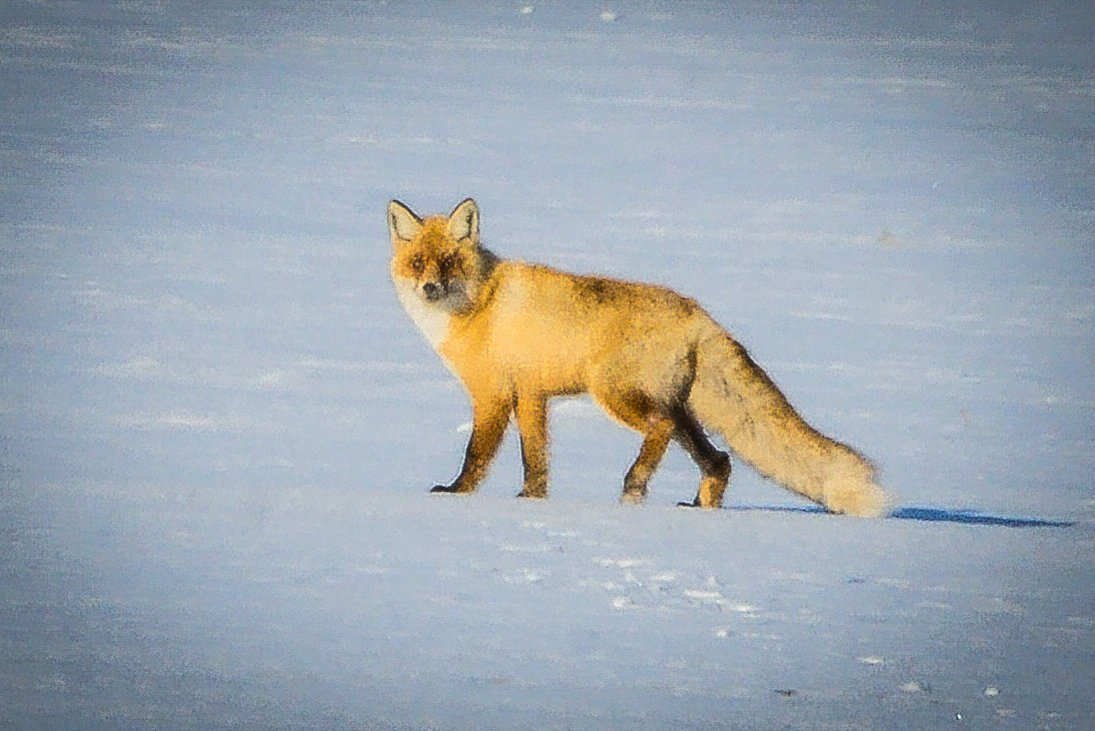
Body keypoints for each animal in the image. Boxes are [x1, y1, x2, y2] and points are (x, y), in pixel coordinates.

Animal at [385, 196, 889, 516]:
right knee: (721, 459)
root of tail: (697, 312)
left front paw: (455, 494)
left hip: (616, 394)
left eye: (450, 263)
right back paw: (700, 509)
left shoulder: (492, 395)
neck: (478, 305)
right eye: (418, 263)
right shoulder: (530, 395)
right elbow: (536, 459)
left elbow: (476, 455)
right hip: (681, 409)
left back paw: (634, 487)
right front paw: (532, 500)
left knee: (661, 430)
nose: (430, 289)